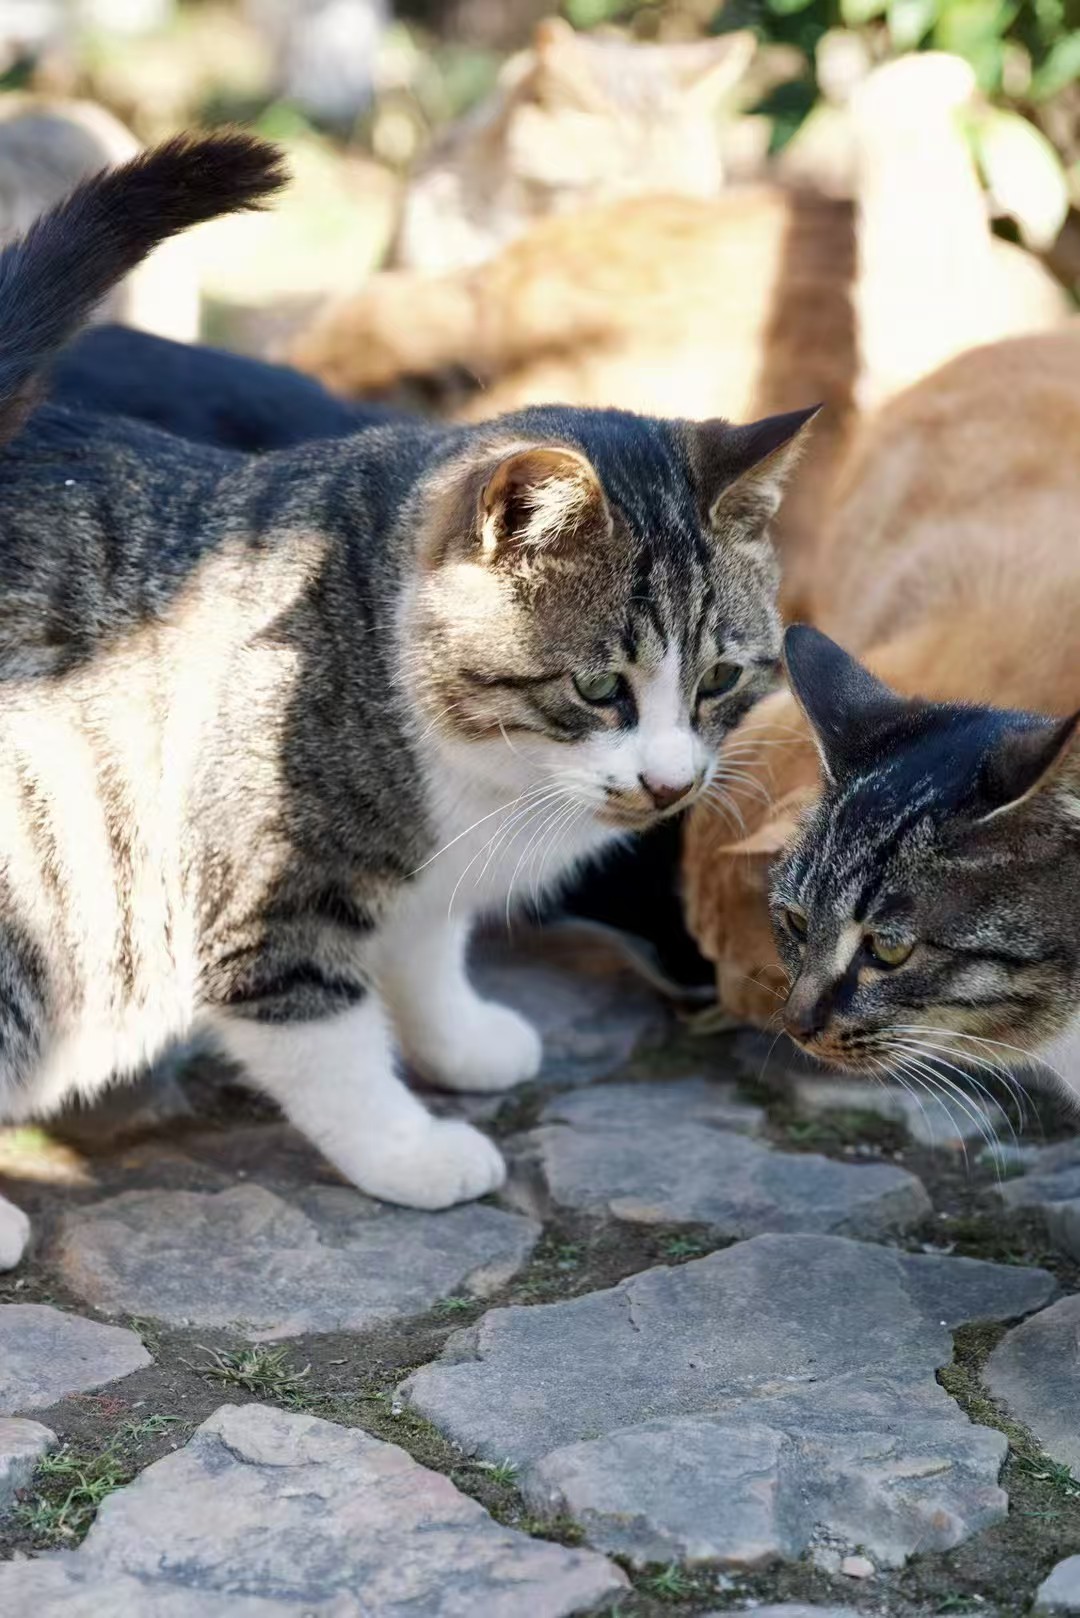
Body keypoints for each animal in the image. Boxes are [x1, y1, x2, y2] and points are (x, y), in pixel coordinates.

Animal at [0, 131, 816, 1266]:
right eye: (599, 686)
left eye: (719, 680)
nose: (668, 785)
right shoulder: (265, 900)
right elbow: (329, 1048)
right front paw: (413, 1150)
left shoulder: (428, 881)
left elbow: (428, 953)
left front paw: (461, 1040)